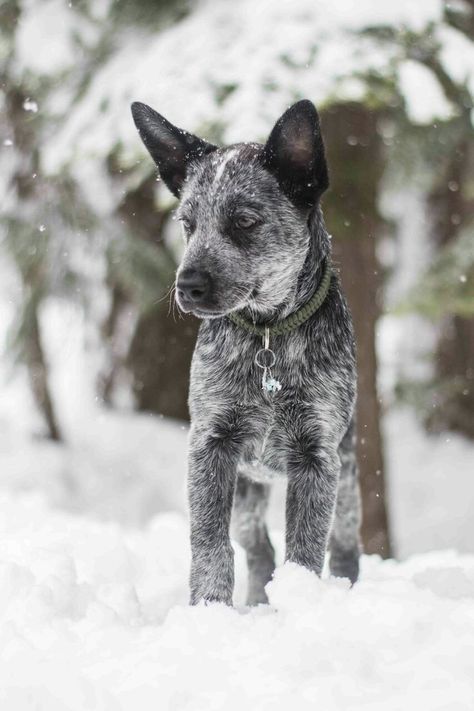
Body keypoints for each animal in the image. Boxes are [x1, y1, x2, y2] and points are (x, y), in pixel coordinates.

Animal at [131, 97, 362, 604]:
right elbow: (211, 544)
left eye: (244, 221)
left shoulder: (318, 457)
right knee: (259, 550)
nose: (187, 286)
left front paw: (301, 603)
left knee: (345, 544)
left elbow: (306, 551)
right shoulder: (212, 445)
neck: (269, 336)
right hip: (247, 491)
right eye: (187, 224)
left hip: (348, 475)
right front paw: (208, 609)